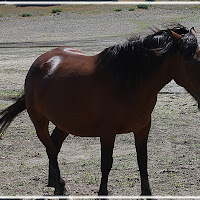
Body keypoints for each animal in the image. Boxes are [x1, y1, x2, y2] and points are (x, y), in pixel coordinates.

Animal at [0, 23, 200, 197]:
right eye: (193, 60)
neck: (126, 83)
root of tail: (40, 63)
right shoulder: (107, 132)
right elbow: (106, 163)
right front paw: (102, 192)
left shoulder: (142, 128)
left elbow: (142, 160)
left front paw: (147, 192)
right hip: (39, 122)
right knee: (50, 148)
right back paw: (60, 186)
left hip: (66, 123)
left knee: (55, 145)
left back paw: (55, 183)